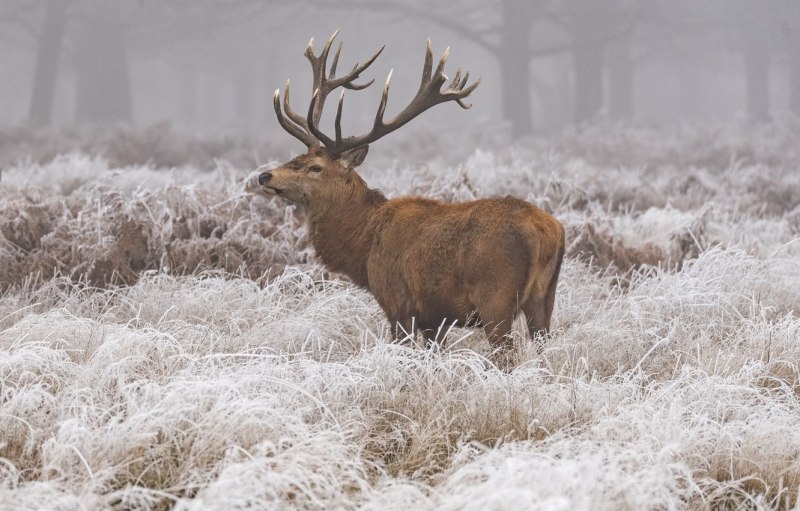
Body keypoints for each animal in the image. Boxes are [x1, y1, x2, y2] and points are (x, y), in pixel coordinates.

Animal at [253, 31, 565, 368]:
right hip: (545, 297)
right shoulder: (435, 318)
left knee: (507, 355)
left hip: (496, 296)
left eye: (315, 167)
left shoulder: (398, 303)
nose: (265, 176)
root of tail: (548, 232)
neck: (363, 245)